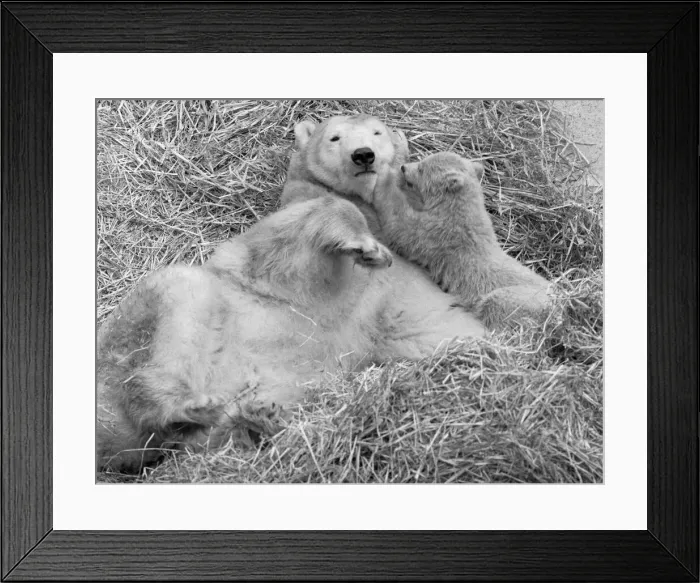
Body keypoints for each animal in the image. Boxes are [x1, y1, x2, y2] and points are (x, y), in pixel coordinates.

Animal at [96, 195, 485, 474]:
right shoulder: (292, 281)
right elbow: (294, 239)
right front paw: (368, 248)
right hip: (156, 315)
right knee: (166, 331)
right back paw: (197, 404)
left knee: (201, 437)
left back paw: (252, 416)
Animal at [371, 151, 551, 329]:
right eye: (423, 160)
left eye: (422, 168)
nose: (404, 167)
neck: (459, 208)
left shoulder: (440, 233)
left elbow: (401, 227)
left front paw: (384, 175)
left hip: (526, 299)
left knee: (497, 303)